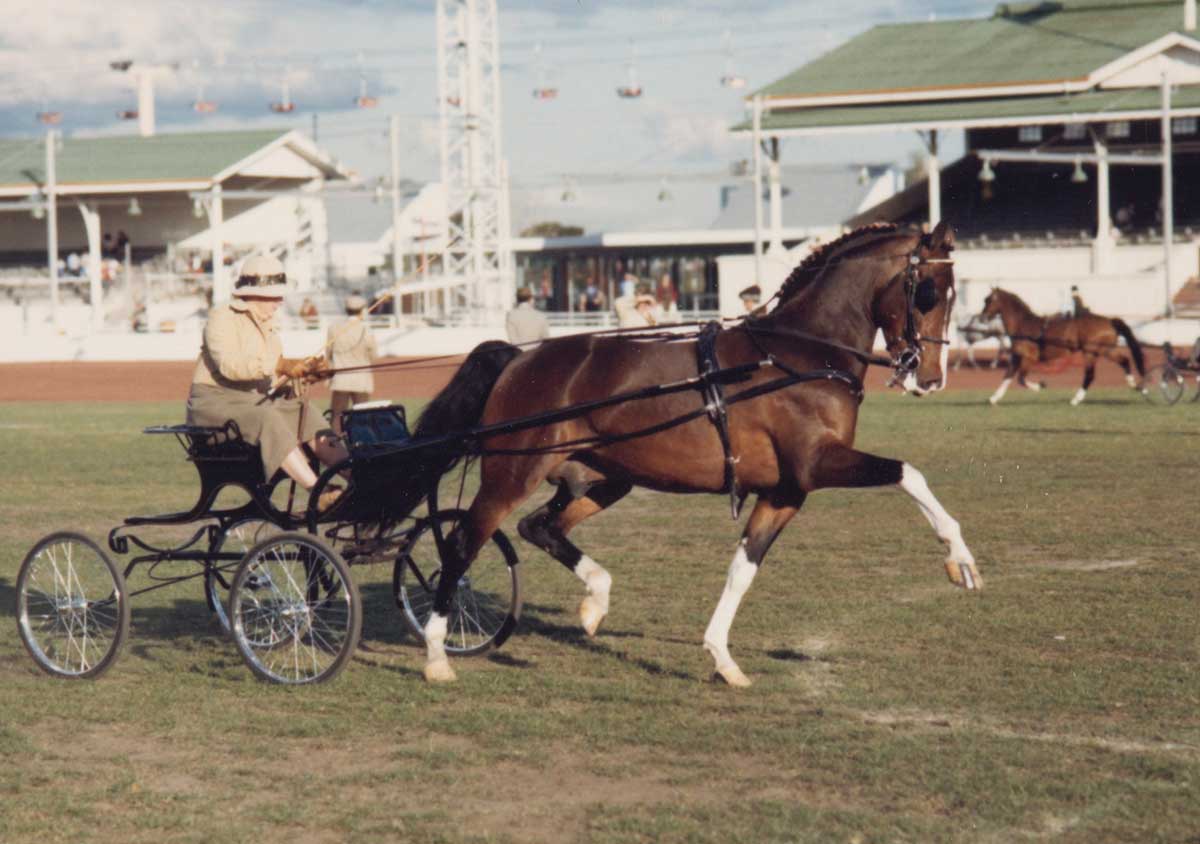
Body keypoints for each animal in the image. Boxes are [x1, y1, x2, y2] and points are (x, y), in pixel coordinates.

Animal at [412, 221, 980, 685]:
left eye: (953, 294)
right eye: (928, 292)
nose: (931, 377)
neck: (800, 354)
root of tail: (519, 359)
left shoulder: (785, 490)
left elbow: (743, 568)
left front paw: (722, 658)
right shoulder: (818, 464)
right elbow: (909, 473)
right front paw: (961, 558)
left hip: (603, 477)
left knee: (540, 527)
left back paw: (596, 600)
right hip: (511, 475)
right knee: (461, 544)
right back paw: (437, 653)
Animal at [978, 288, 1146, 406]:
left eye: (988, 300)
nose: (981, 318)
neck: (1024, 325)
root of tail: (1109, 321)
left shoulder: (1028, 358)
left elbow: (1021, 378)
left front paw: (1040, 386)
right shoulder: (1016, 357)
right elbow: (1007, 376)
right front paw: (994, 398)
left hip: (1092, 352)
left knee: (1090, 374)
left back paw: (1076, 399)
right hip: (1103, 350)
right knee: (1123, 360)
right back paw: (1136, 386)